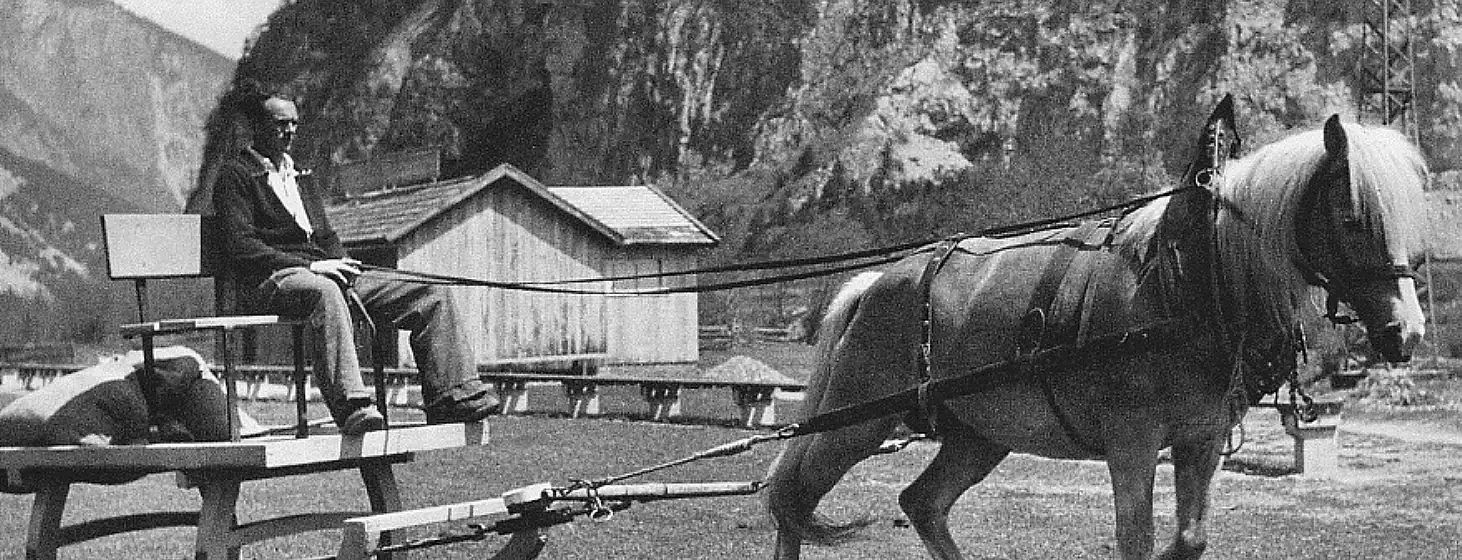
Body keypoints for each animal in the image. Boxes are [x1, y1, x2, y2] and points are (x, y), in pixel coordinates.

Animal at [764, 112, 1429, 559]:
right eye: (1352, 218)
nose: (1408, 331)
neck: (1191, 275)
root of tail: (874, 283)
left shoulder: (1201, 437)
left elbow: (1190, 538)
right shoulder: (1131, 438)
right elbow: (1136, 539)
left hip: (977, 435)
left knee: (921, 503)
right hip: (856, 422)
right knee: (792, 499)